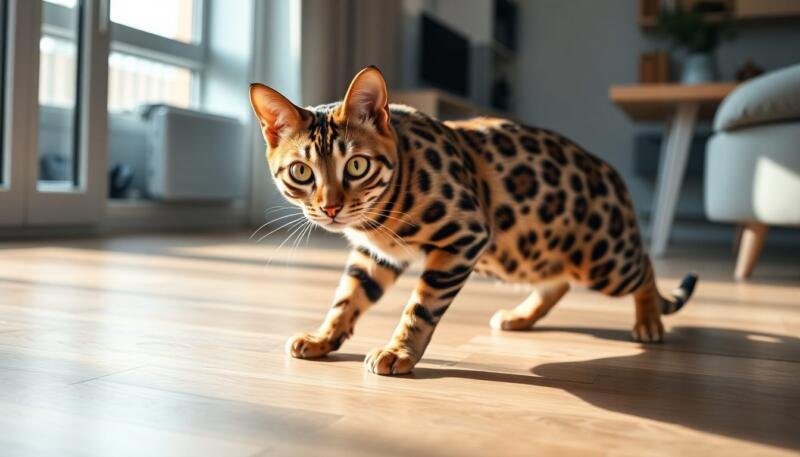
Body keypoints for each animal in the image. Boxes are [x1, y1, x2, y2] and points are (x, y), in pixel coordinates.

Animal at [249, 66, 697, 376]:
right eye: (301, 172)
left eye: (357, 165)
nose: (330, 208)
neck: (378, 220)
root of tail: (614, 177)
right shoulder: (374, 256)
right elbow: (346, 300)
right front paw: (323, 338)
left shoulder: (464, 237)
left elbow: (420, 307)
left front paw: (399, 352)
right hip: (533, 257)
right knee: (557, 283)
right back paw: (520, 316)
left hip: (603, 260)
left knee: (644, 267)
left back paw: (649, 321)